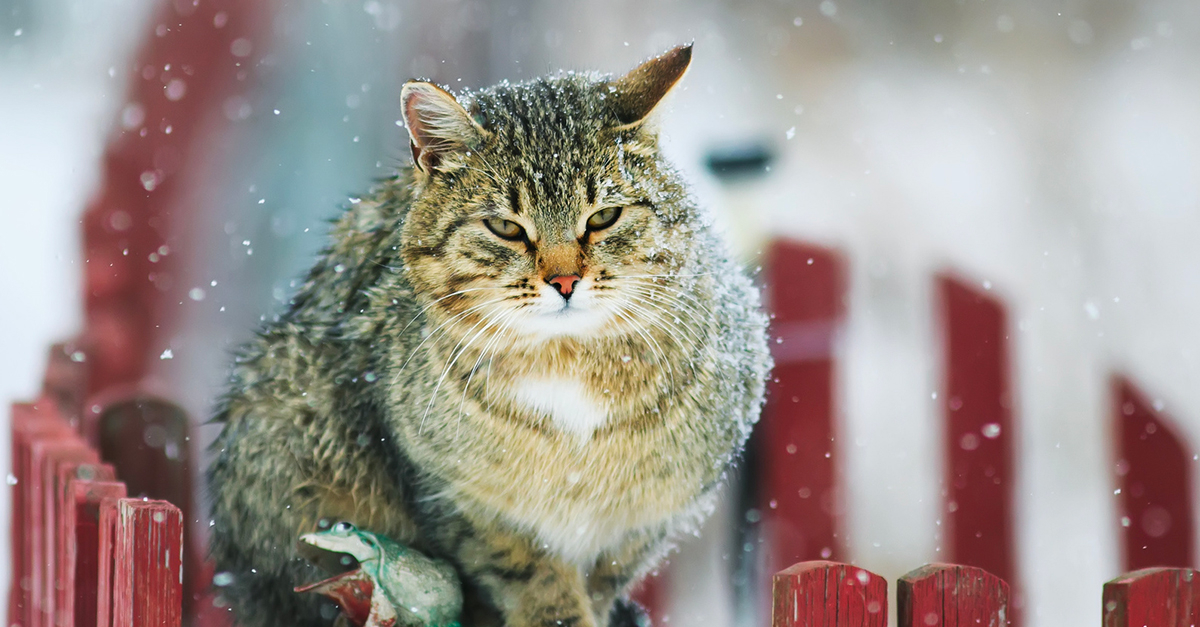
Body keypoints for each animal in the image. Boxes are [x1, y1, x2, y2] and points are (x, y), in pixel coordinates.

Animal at [205, 45, 768, 624]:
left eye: (604, 217)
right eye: (506, 228)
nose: (564, 280)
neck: (571, 364)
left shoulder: (652, 515)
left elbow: (605, 577)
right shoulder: (459, 498)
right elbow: (531, 577)